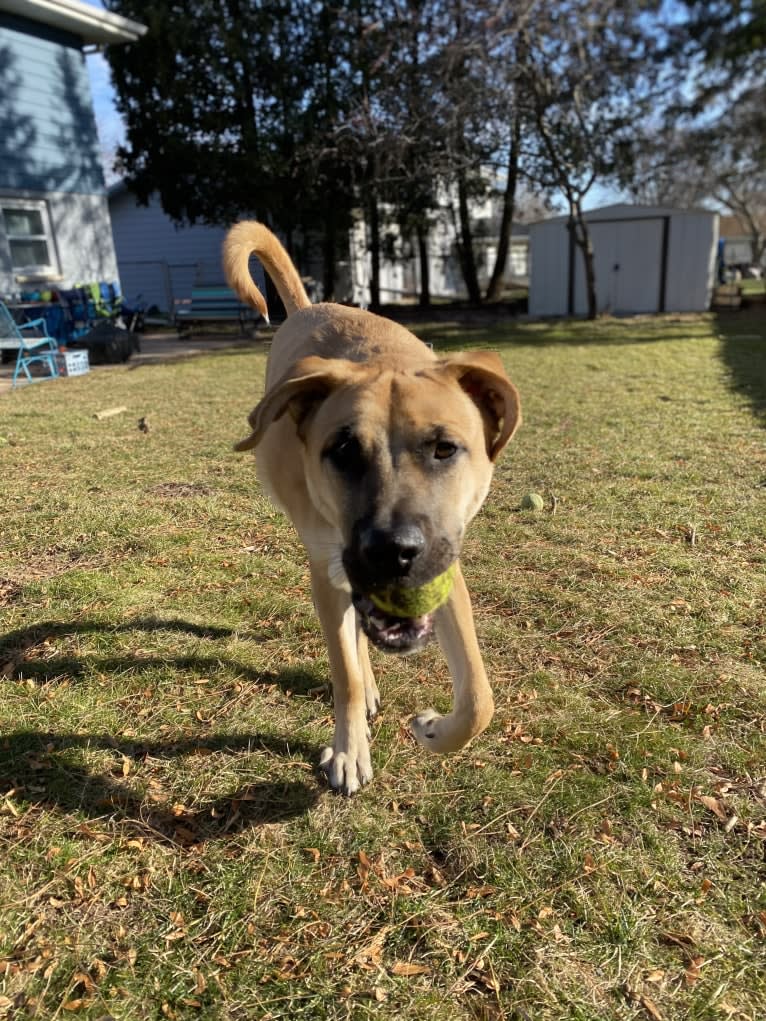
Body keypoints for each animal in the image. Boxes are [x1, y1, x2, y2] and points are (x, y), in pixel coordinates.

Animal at [221, 221, 522, 796]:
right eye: (342, 451)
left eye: (444, 449)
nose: (391, 552)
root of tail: (310, 307)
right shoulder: (328, 567)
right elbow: (345, 673)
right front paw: (349, 748)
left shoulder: (445, 568)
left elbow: (479, 698)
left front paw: (433, 729)